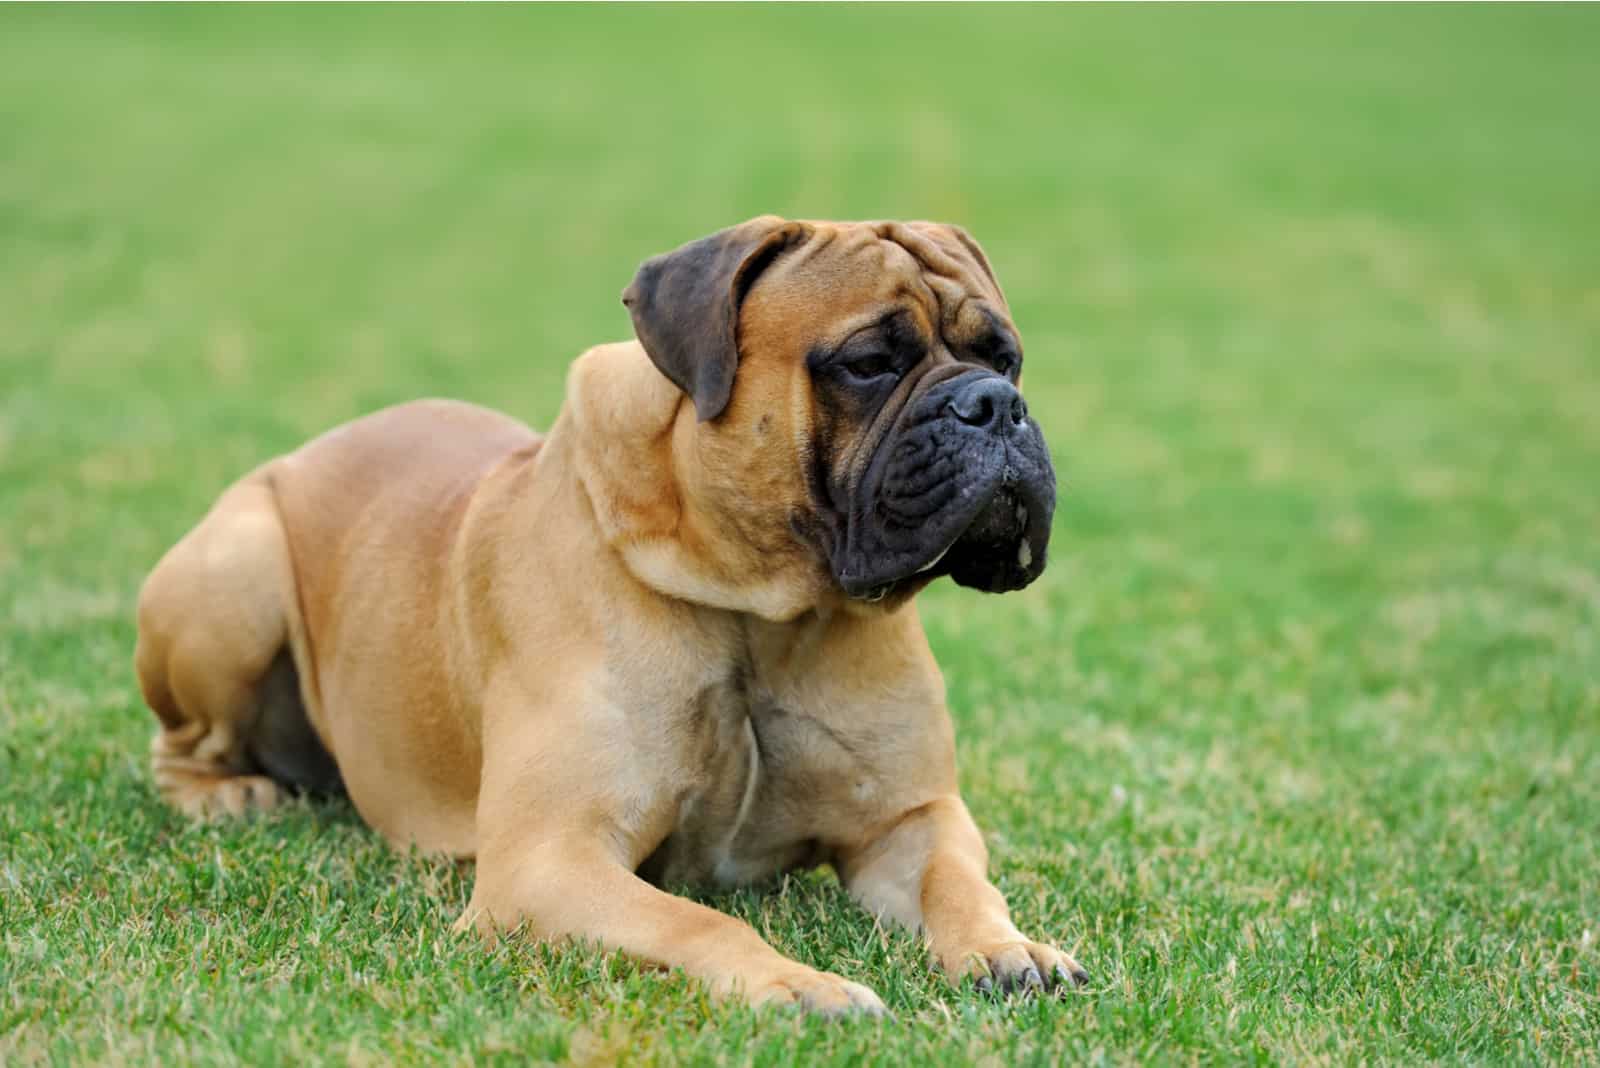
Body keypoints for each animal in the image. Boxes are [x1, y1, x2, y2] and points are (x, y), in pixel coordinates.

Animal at [137, 214, 1088, 1010]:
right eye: (868, 363)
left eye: (1005, 356)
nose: (995, 406)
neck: (759, 612)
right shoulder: (549, 862)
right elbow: (698, 917)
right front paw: (795, 984)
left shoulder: (910, 820)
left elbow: (957, 882)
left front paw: (1010, 947)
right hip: (237, 571)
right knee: (180, 748)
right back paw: (229, 795)